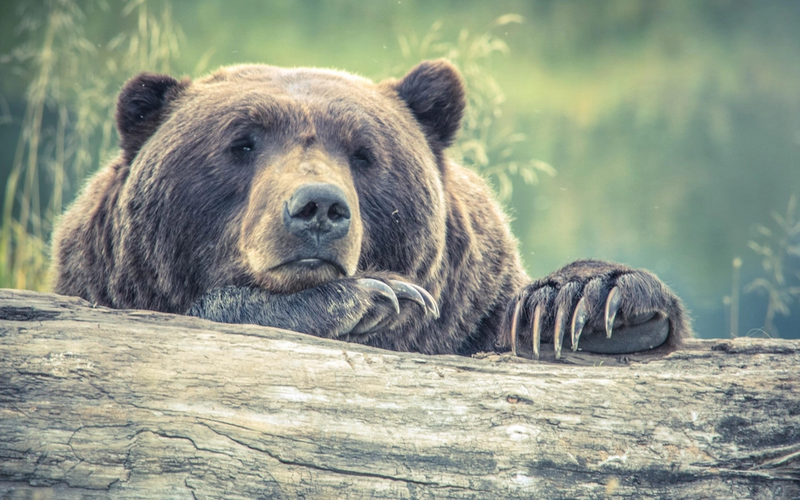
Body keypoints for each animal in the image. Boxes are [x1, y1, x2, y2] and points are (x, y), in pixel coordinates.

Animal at [51, 59, 691, 358]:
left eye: (363, 152)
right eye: (242, 143)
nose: (318, 207)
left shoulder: (471, 311)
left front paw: (585, 303)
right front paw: (371, 296)